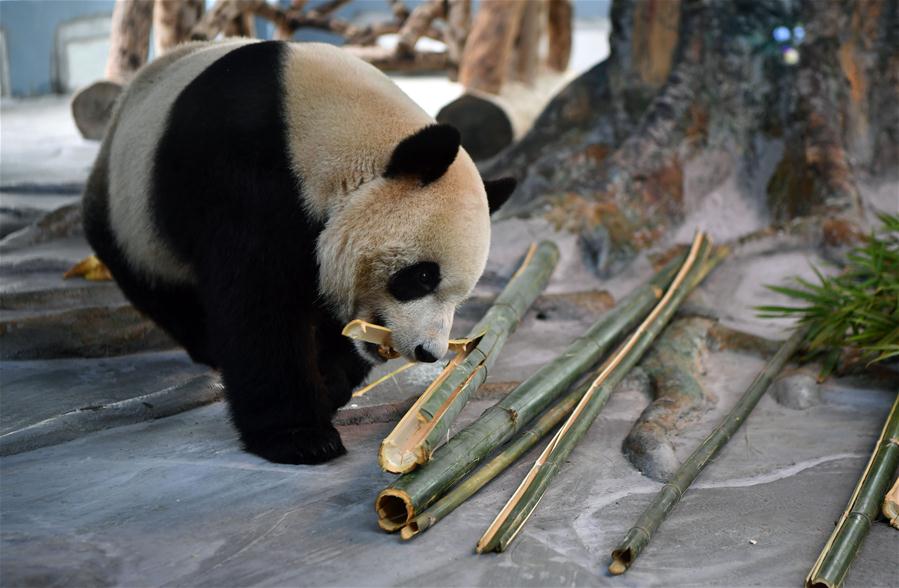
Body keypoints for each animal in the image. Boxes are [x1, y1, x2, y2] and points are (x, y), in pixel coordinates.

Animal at [82, 40, 515, 465]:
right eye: (422, 276)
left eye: (460, 298)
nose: (428, 353)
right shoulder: (245, 179)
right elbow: (258, 306)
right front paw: (301, 437)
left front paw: (330, 382)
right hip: (133, 213)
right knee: (159, 288)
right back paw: (206, 344)